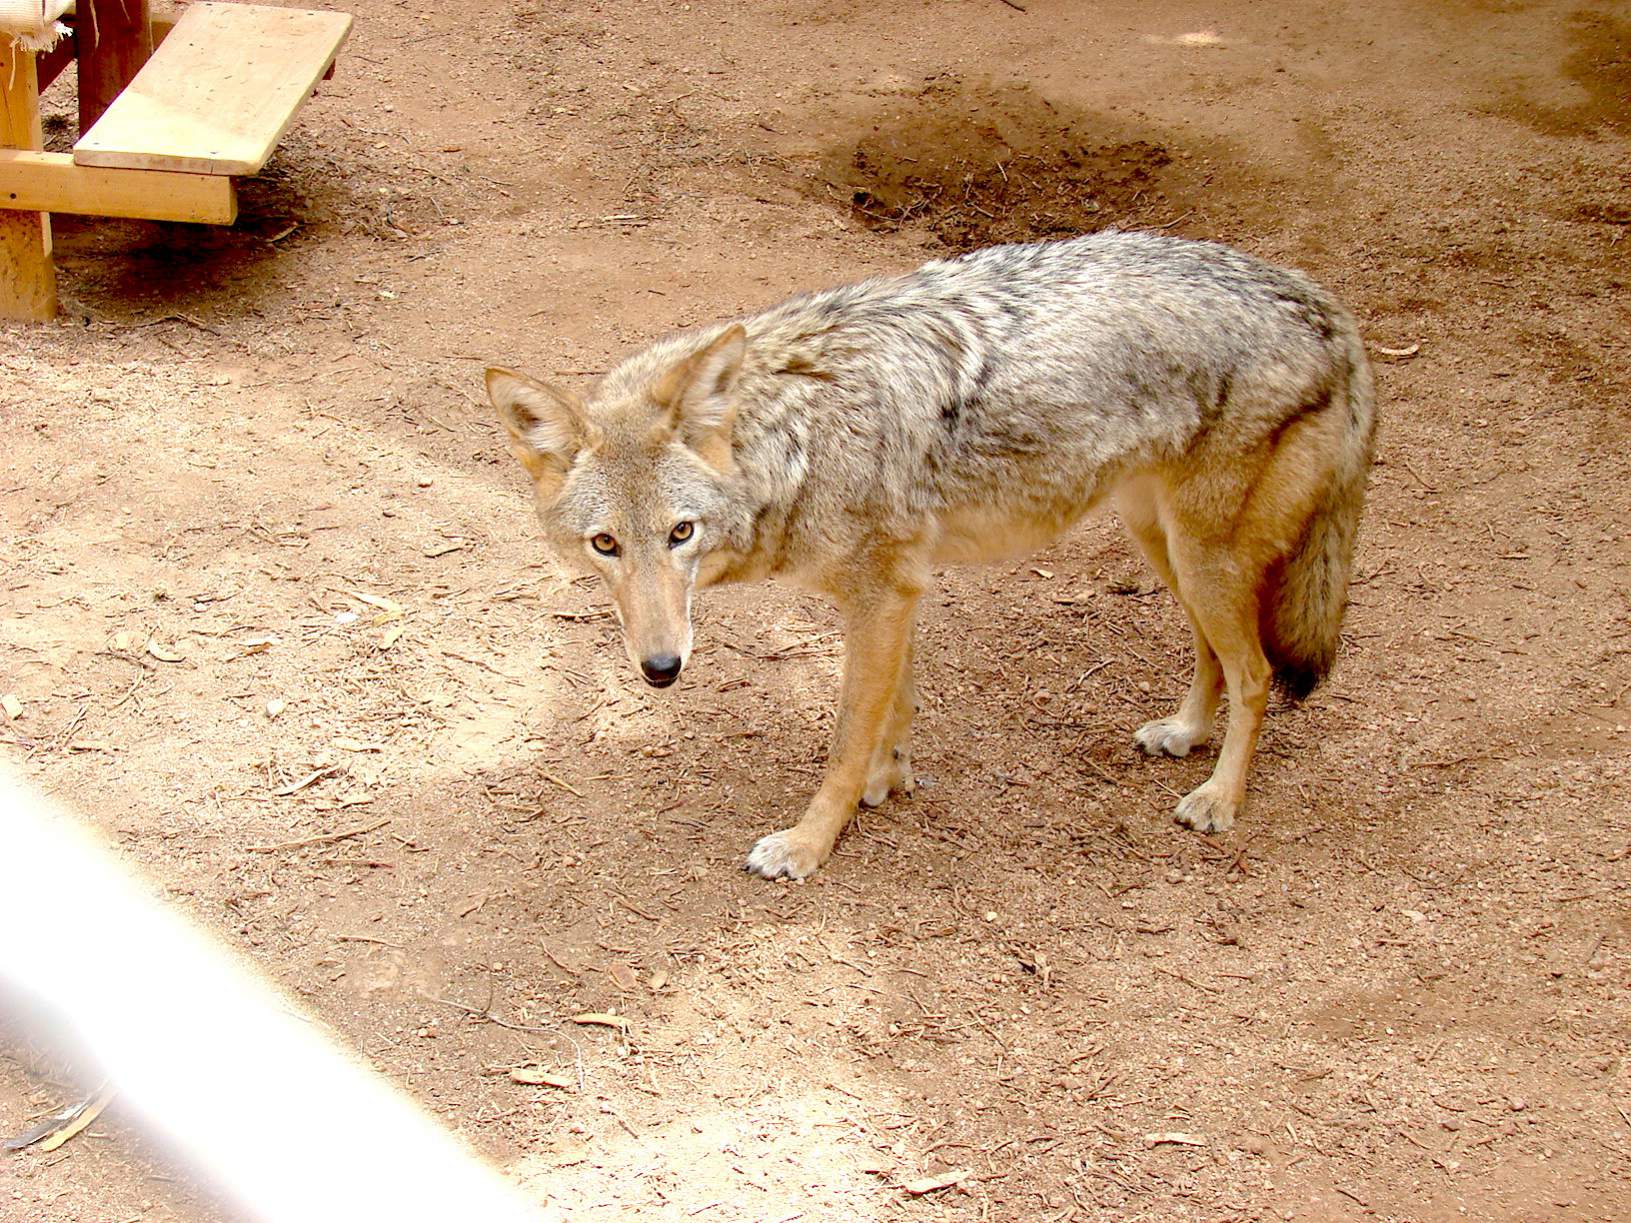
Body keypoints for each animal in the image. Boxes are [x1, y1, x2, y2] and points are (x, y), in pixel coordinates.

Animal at [486, 231, 1376, 881]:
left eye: (681, 533)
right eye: (605, 544)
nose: (661, 668)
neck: (796, 436)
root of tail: (1328, 306)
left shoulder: (880, 594)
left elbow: (845, 736)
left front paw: (809, 842)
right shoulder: (896, 588)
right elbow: (895, 707)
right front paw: (891, 780)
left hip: (1199, 555)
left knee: (1255, 671)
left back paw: (1219, 796)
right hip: (1163, 544)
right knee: (1213, 655)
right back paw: (1184, 734)